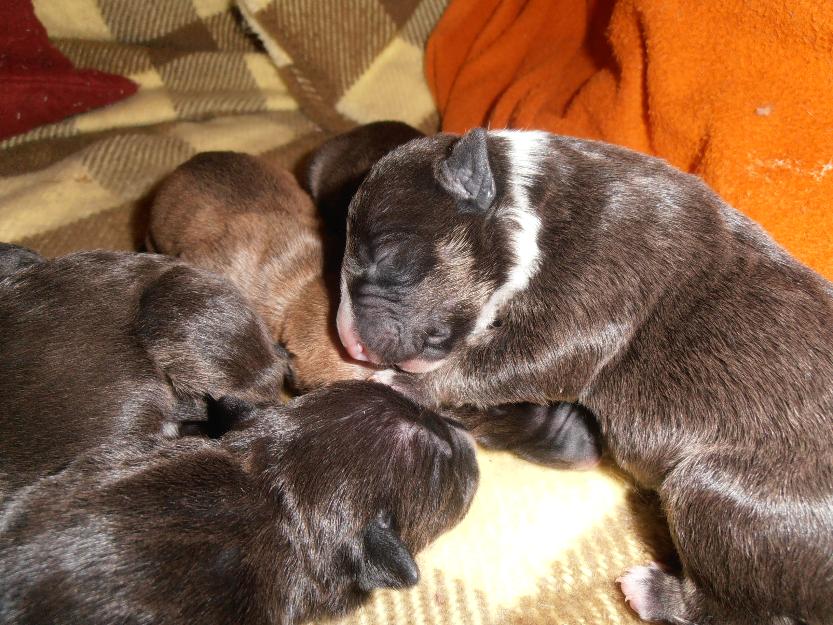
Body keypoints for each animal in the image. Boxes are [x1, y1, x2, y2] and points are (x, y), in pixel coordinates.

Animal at [334, 128, 832, 624]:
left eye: (388, 255)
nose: (346, 340)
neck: (529, 201)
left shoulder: (590, 299)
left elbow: (512, 361)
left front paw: (401, 384)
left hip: (717, 500)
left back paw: (651, 592)